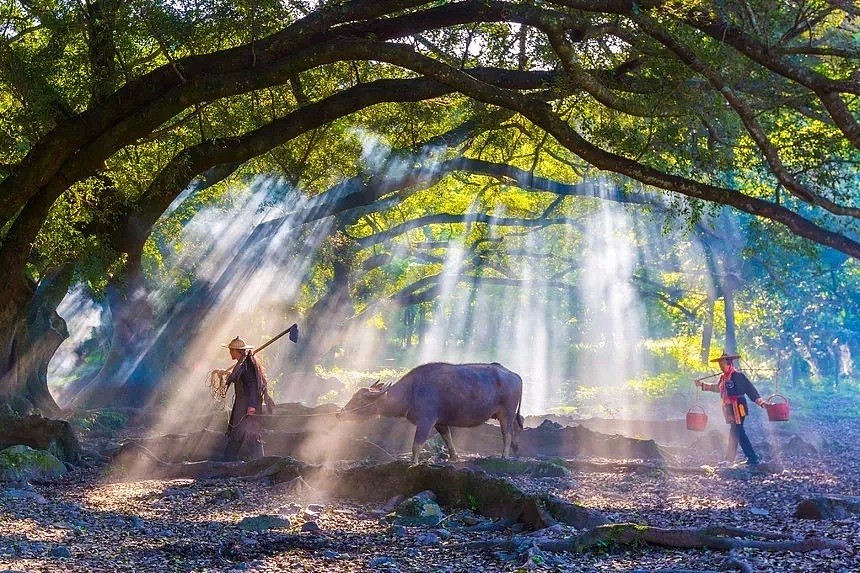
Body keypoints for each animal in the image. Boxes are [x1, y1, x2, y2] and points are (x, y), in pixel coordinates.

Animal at [336, 364, 524, 462]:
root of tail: (515, 375)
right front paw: (454, 457)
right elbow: (448, 438)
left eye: (360, 400)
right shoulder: (440, 422)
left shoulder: (426, 421)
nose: (339, 414)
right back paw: (516, 450)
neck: (411, 391)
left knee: (507, 433)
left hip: (506, 412)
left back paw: (505, 455)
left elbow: (416, 445)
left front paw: (413, 463)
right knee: (518, 426)